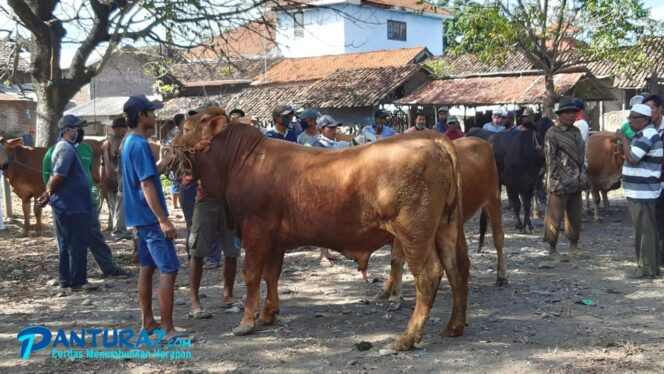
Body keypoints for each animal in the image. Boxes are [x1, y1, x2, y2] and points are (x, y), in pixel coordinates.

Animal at [164, 108, 470, 350]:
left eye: (186, 129)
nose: (168, 149)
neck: (240, 160)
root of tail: (435, 143)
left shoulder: (255, 230)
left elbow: (251, 275)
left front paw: (247, 321)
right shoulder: (275, 240)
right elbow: (271, 275)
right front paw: (269, 314)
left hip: (414, 233)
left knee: (429, 275)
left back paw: (406, 339)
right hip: (445, 228)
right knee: (456, 268)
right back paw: (454, 326)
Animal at [378, 137, 508, 306]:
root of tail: (482, 141)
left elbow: (396, 259)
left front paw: (394, 296)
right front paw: (386, 290)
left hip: (493, 197)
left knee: (498, 238)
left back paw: (502, 276)